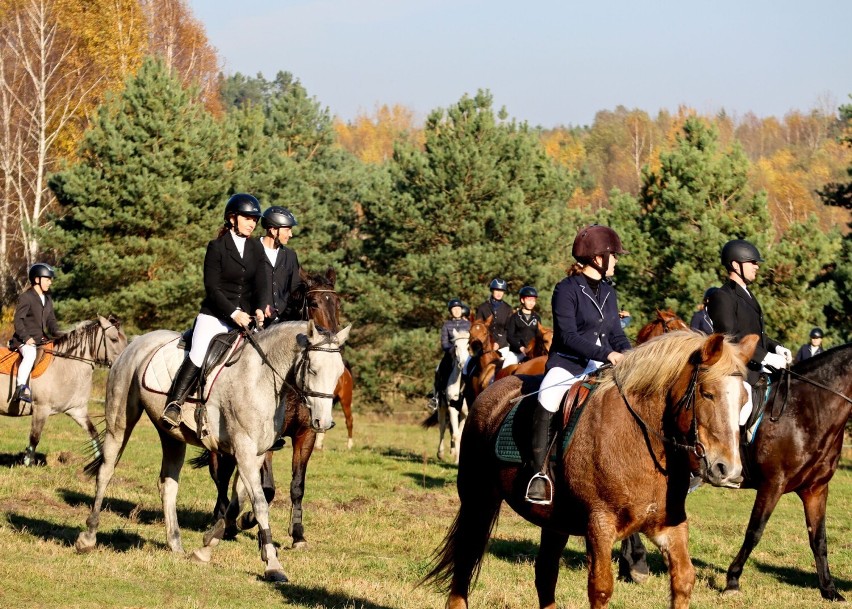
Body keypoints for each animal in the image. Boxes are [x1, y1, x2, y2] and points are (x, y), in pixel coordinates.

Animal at [0, 316, 126, 464]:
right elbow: (35, 437)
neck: (65, 367)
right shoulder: (41, 408)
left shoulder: (77, 410)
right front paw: (27, 463)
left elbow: (93, 432)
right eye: (114, 339)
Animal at [75, 318, 350, 580]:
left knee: (168, 484)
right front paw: (273, 564)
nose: (323, 423)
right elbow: (260, 504)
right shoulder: (244, 451)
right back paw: (88, 537)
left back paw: (175, 544)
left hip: (172, 435)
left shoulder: (256, 455)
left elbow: (238, 503)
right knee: (106, 471)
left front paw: (205, 549)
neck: (259, 378)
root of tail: (136, 342)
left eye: (339, 373)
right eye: (313, 369)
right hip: (120, 420)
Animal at [422, 332, 756, 608]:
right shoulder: (600, 525)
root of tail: (495, 387)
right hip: (477, 500)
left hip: (553, 521)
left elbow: (684, 579)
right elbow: (601, 588)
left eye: (744, 399)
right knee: (465, 560)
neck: (639, 439)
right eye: (707, 393)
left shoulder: (667, 526)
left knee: (545, 574)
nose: (728, 470)